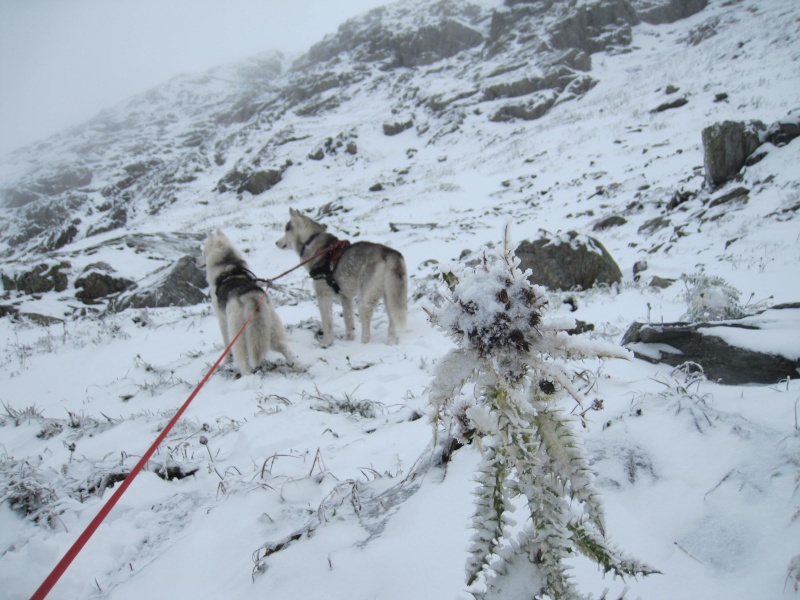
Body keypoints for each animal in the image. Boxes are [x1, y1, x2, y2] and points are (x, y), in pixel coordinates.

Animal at [199, 230, 296, 376]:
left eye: (203, 252)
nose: (195, 261)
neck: (229, 268)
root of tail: (250, 296)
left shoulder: (222, 320)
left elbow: (226, 344)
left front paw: (226, 361)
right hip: (273, 330)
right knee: (287, 350)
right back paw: (300, 367)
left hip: (238, 336)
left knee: (244, 363)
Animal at [278, 209, 410, 346]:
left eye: (286, 230)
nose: (276, 242)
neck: (312, 241)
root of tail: (388, 253)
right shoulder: (346, 297)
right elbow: (348, 319)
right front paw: (348, 338)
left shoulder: (323, 296)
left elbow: (327, 323)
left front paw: (326, 342)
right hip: (391, 296)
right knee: (392, 319)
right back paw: (391, 340)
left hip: (364, 299)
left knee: (366, 325)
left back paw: (364, 343)